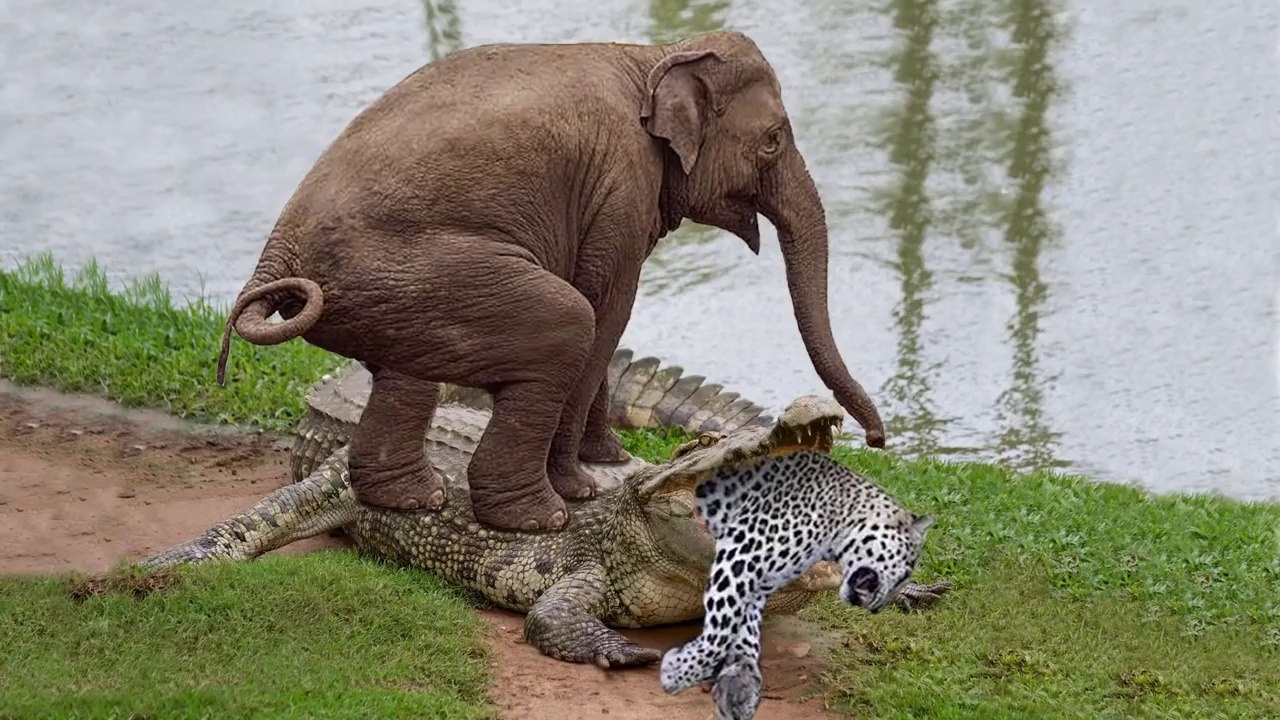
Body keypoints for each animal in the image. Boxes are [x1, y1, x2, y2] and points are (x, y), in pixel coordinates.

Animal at [215, 30, 887, 534]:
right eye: (773, 141)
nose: (878, 438)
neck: (655, 53)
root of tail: (277, 254)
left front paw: (610, 460)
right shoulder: (621, 181)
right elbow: (606, 305)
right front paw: (584, 485)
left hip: (391, 298)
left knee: (408, 373)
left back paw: (413, 500)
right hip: (414, 273)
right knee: (565, 323)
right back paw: (537, 518)